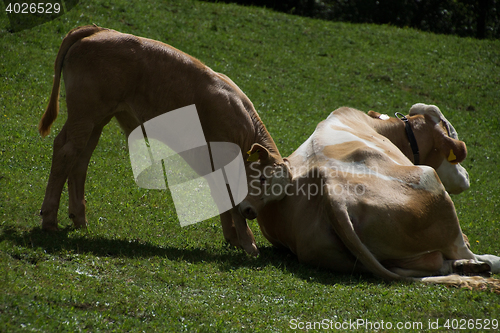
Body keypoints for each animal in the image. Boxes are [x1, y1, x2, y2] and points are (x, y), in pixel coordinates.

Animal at [38, 25, 290, 254]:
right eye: (262, 178)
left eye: (276, 196)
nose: (252, 213)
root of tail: (100, 30)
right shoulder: (223, 161)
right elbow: (231, 199)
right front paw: (249, 244)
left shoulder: (213, 165)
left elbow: (222, 198)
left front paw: (233, 237)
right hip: (85, 113)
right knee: (66, 151)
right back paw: (49, 220)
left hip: (97, 119)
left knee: (80, 158)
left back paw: (79, 218)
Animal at [243, 105, 500, 288]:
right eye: (450, 130)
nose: (466, 175)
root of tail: (330, 192)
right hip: (430, 180)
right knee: (462, 252)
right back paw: (483, 263)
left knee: (432, 265)